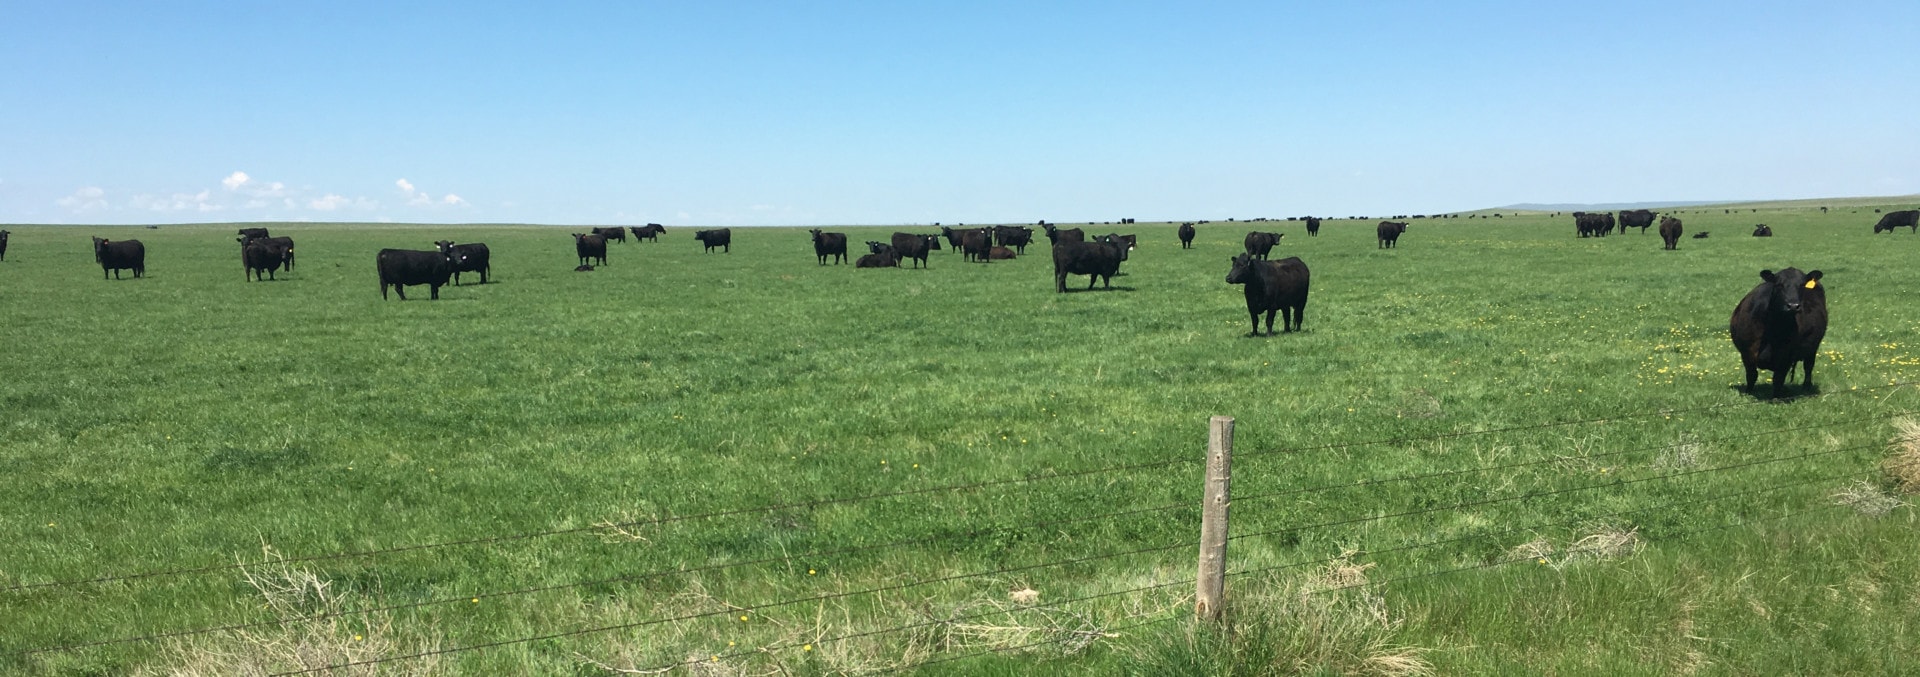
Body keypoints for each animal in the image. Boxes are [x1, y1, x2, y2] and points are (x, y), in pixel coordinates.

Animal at [1730, 267, 1827, 398]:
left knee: (1808, 366)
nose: (1793, 306)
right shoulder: (1746, 352)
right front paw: (1748, 393)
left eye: (1802, 285)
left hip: (1813, 347)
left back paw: (1806, 387)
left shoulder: (1786, 356)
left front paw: (1775, 398)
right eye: (1779, 284)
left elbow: (1778, 379)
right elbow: (1751, 375)